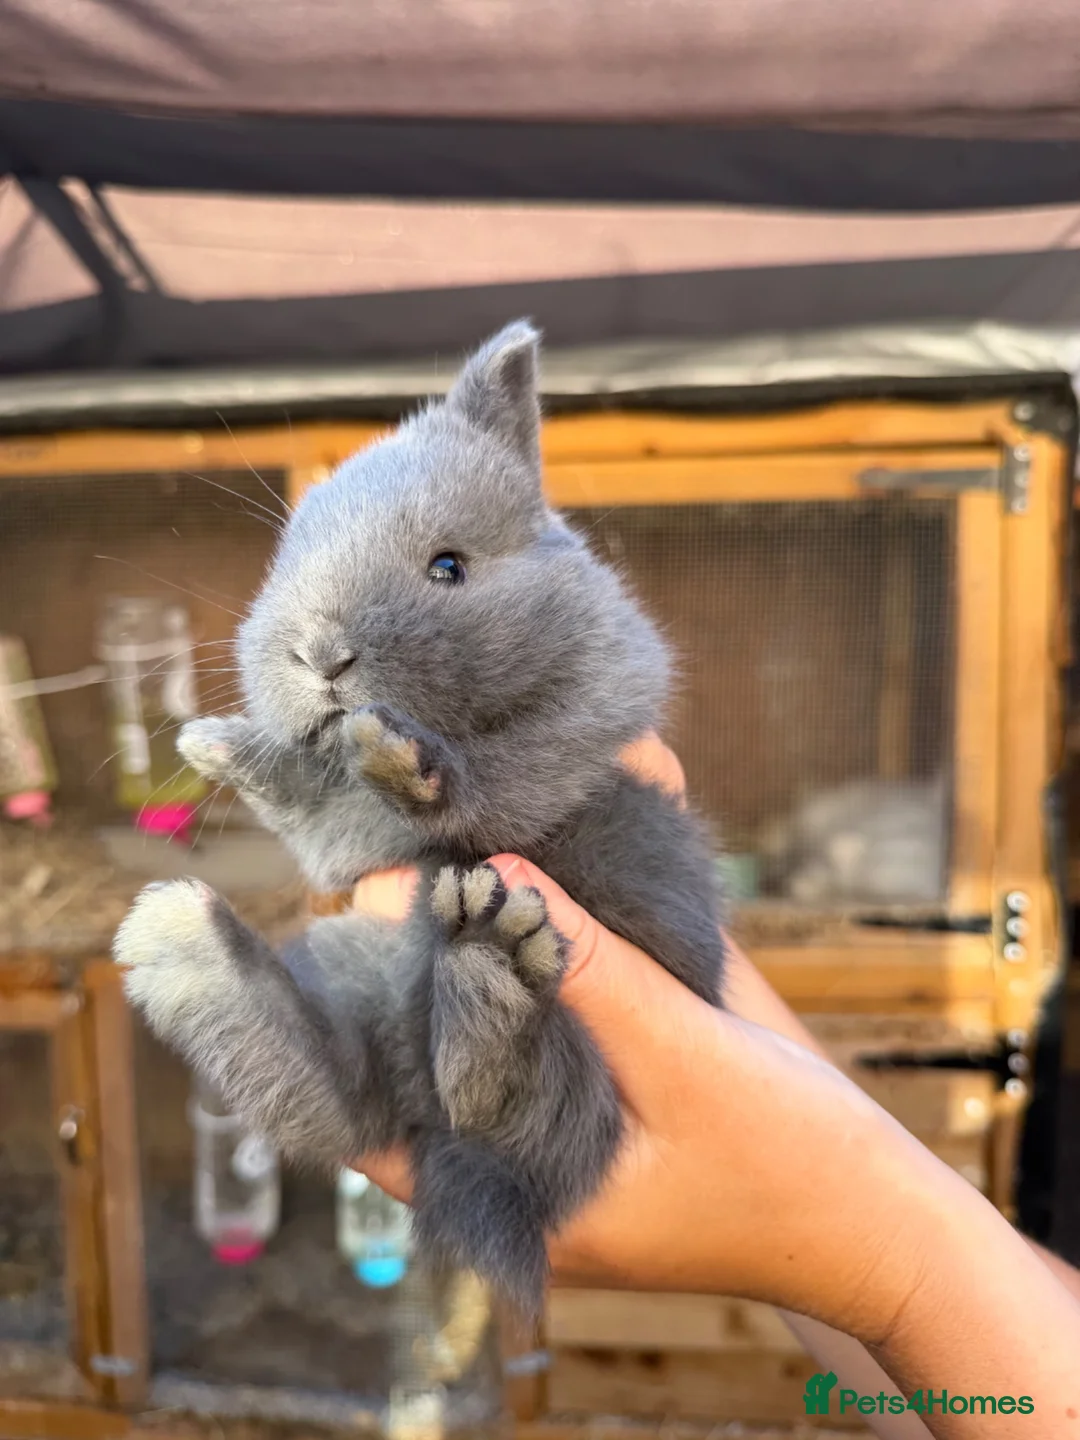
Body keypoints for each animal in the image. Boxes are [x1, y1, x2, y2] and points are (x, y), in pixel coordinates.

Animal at [114, 320, 728, 1318]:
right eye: (284, 565)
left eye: (449, 567)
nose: (321, 655)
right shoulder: (333, 844)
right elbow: (309, 799)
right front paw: (216, 744)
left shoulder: (573, 731)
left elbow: (475, 785)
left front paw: (396, 759)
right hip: (351, 979)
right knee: (341, 1098)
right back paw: (186, 944)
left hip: (586, 1067)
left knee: (521, 1112)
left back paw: (485, 972)